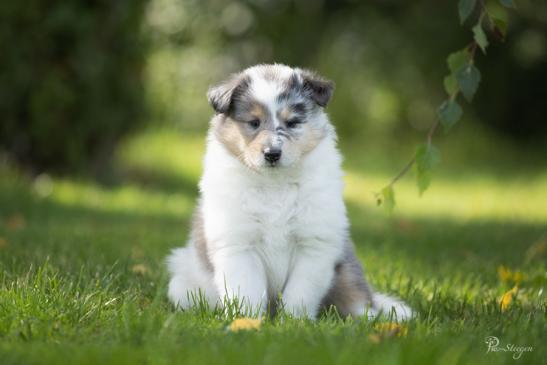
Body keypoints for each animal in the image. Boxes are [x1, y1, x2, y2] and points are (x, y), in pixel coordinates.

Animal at [166, 64, 412, 318]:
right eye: (254, 122)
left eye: (293, 122)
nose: (272, 154)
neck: (275, 183)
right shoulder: (238, 245)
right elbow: (247, 291)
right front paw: (247, 321)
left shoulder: (314, 244)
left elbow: (300, 293)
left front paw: (293, 321)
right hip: (183, 284)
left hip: (346, 273)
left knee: (358, 302)